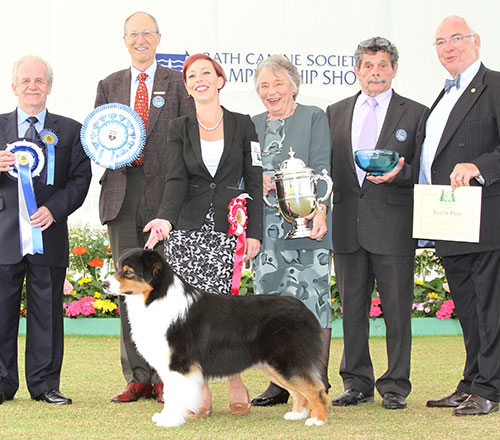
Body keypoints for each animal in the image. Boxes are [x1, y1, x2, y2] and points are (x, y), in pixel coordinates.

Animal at [103, 249, 326, 428]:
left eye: (128, 272)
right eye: (117, 268)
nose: (104, 284)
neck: (155, 298)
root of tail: (304, 309)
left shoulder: (178, 364)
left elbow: (174, 395)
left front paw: (171, 420)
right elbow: (169, 394)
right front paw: (166, 417)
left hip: (286, 360)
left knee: (317, 389)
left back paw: (317, 420)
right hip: (274, 365)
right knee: (299, 391)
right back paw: (297, 415)